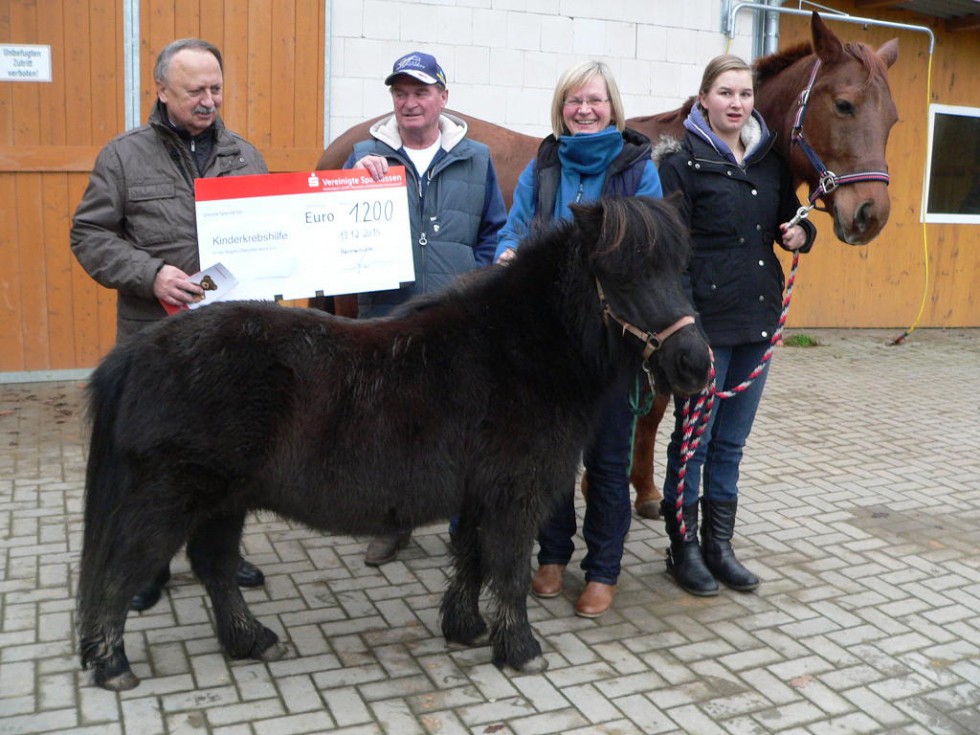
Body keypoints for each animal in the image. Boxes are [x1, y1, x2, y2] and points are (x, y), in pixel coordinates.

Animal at [74, 196, 704, 688]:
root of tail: (138, 352)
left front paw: (466, 630)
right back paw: (112, 666)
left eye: (680, 269)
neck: (517, 350)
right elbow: (506, 572)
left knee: (216, 569)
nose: (694, 363)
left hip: (223, 502)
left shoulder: (480, 496)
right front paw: (521, 651)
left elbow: (472, 560)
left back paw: (251, 641)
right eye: (623, 276)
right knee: (121, 571)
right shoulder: (513, 497)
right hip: (171, 499)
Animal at [314, 10, 896, 516]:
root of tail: (342, 146)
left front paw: (643, 490)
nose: (871, 214)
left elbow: (654, 410)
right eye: (844, 105)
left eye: (892, 119)